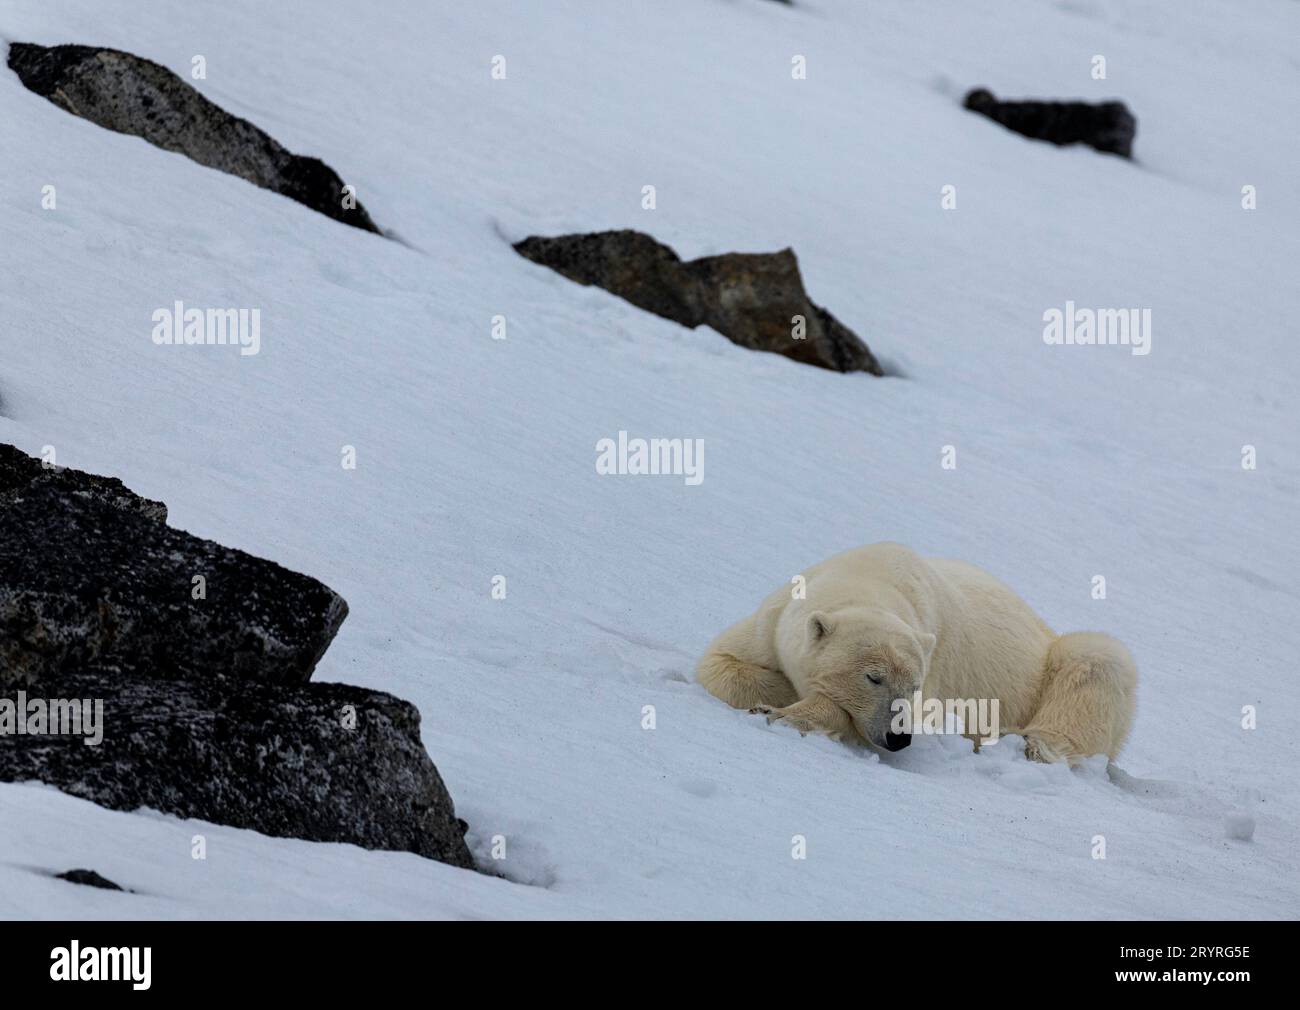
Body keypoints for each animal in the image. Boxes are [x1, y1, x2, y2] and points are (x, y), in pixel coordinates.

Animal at [696, 542, 1136, 764]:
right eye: (873, 677)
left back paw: (1032, 744)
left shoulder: (934, 659)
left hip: (1056, 661)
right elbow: (721, 665)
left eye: (914, 686)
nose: (899, 737)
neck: (868, 578)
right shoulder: (773, 620)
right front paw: (774, 695)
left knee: (1096, 659)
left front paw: (782, 711)